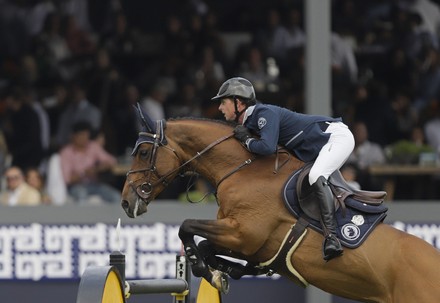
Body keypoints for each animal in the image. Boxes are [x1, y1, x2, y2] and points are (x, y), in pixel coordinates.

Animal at [120, 110, 440, 302]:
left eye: (144, 152)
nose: (126, 201)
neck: (244, 170)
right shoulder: (250, 243)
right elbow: (208, 246)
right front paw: (224, 272)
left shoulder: (244, 233)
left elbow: (187, 228)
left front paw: (205, 269)